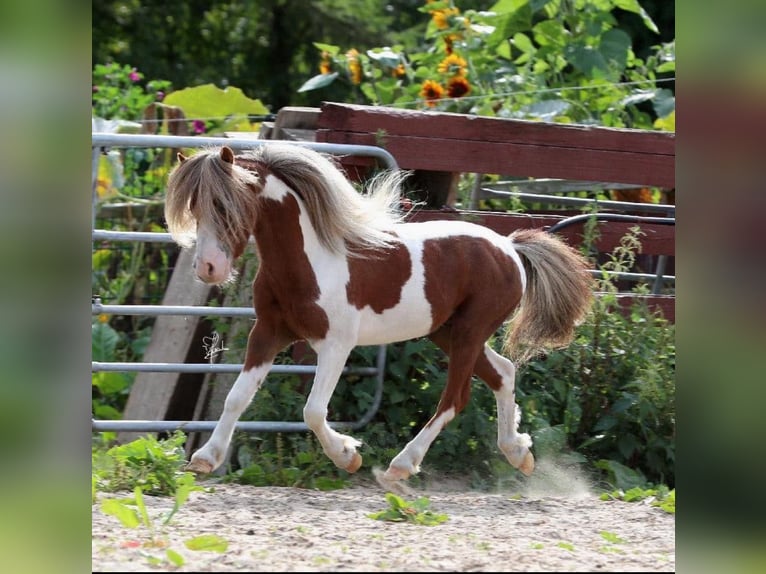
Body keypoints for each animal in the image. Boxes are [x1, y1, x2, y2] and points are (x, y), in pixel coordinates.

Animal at [164, 143, 594, 492]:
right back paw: (518, 453)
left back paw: (400, 466)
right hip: (449, 331)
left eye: (225, 205)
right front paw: (205, 458)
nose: (208, 269)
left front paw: (347, 455)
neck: (309, 261)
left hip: (469, 333)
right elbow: (237, 398)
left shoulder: (336, 344)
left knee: (455, 398)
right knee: (503, 372)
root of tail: (509, 247)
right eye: (194, 208)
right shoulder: (268, 333)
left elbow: (312, 410)